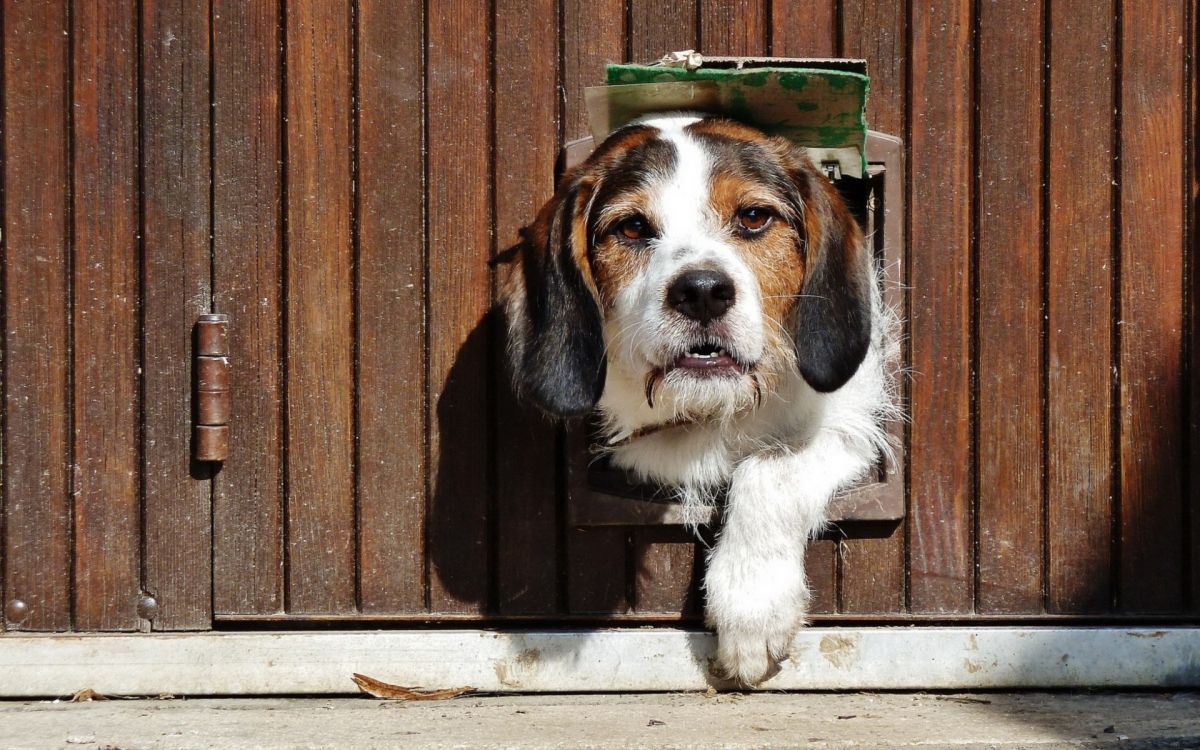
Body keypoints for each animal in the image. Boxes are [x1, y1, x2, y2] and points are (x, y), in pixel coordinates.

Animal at [499, 112, 902, 686]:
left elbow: (771, 467)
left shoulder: (855, 423)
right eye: (632, 227)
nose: (703, 291)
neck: (716, 411)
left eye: (754, 217)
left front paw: (752, 603)